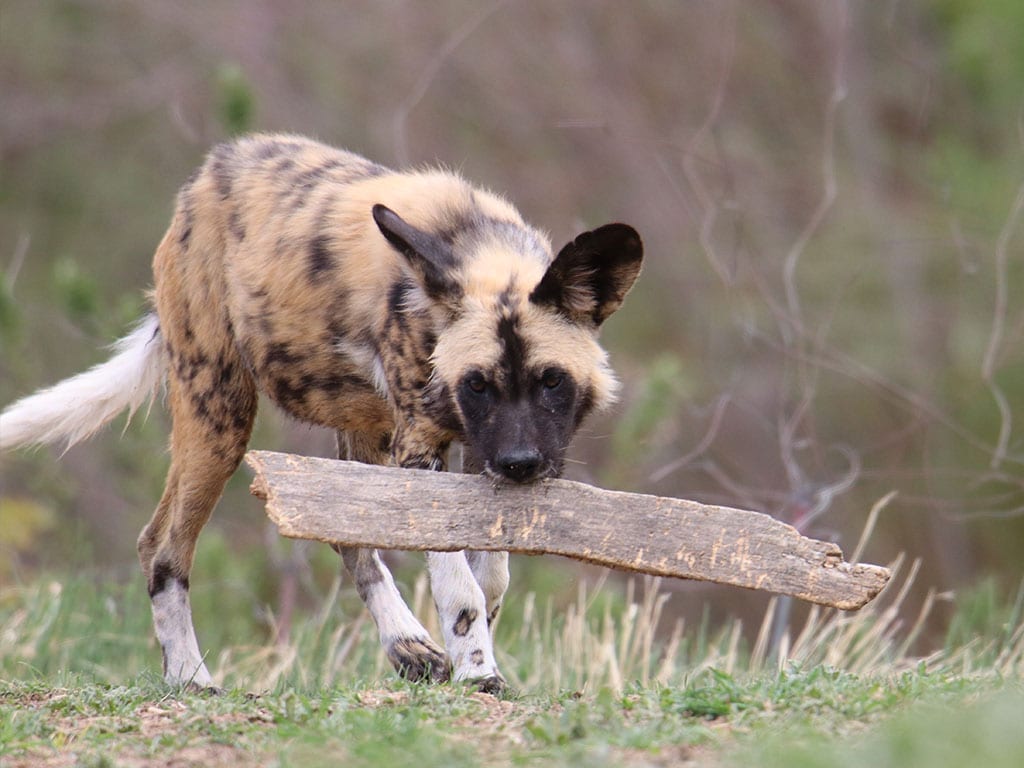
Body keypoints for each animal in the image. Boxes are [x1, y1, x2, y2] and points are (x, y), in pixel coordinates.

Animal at [0, 135, 638, 696]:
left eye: (551, 380)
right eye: (477, 385)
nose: (521, 463)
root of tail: (204, 178)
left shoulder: (476, 458)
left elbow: (490, 577)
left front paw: (471, 651)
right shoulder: (422, 452)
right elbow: (461, 589)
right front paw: (478, 672)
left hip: (361, 432)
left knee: (349, 540)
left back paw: (406, 646)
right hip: (221, 417)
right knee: (163, 550)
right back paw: (190, 679)